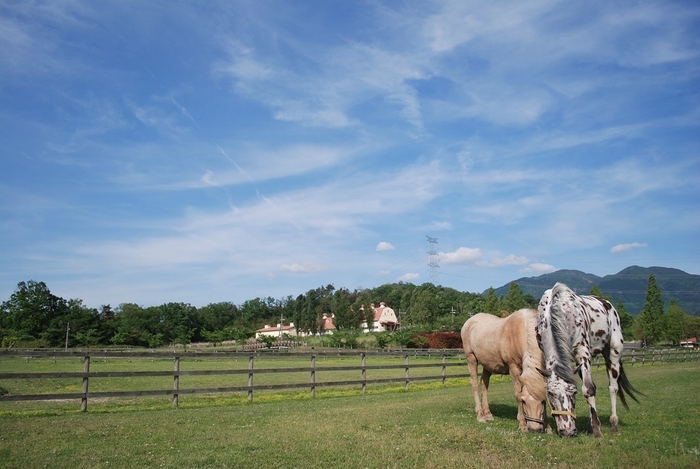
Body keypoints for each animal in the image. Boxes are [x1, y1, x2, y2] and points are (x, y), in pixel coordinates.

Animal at [536, 280, 644, 436]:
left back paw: (614, 424)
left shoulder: (584, 354)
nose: (568, 431)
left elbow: (588, 390)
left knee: (613, 387)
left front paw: (597, 430)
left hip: (613, 353)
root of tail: (607, 304)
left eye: (573, 392)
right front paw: (592, 426)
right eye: (550, 393)